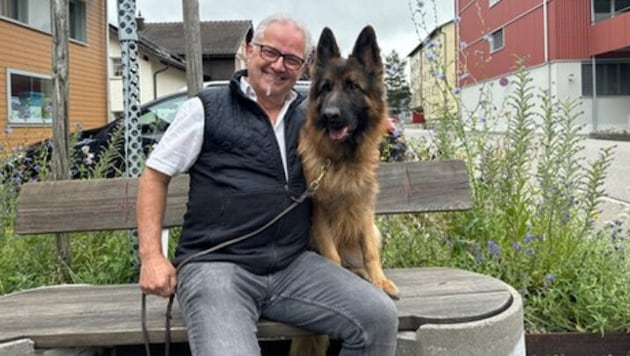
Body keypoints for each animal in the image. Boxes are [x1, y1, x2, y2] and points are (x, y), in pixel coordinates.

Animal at [292, 26, 400, 356]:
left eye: (353, 86)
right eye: (326, 88)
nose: (330, 115)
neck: (341, 160)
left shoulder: (364, 208)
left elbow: (370, 253)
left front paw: (379, 280)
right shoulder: (319, 214)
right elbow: (333, 257)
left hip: (375, 229)